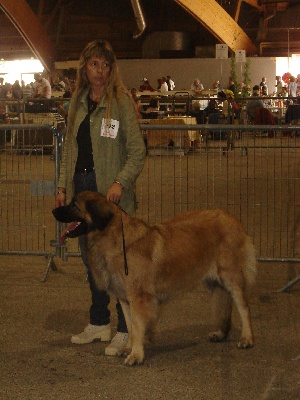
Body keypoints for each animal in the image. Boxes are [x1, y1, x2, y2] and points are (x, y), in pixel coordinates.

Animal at [52, 191, 256, 366]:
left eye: (74, 205)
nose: (54, 210)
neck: (112, 236)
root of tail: (232, 218)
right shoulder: (125, 298)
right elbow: (130, 326)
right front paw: (128, 348)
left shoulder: (138, 298)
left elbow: (137, 326)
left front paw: (136, 355)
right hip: (214, 281)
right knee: (225, 303)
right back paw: (221, 333)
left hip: (230, 276)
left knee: (243, 307)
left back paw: (247, 338)